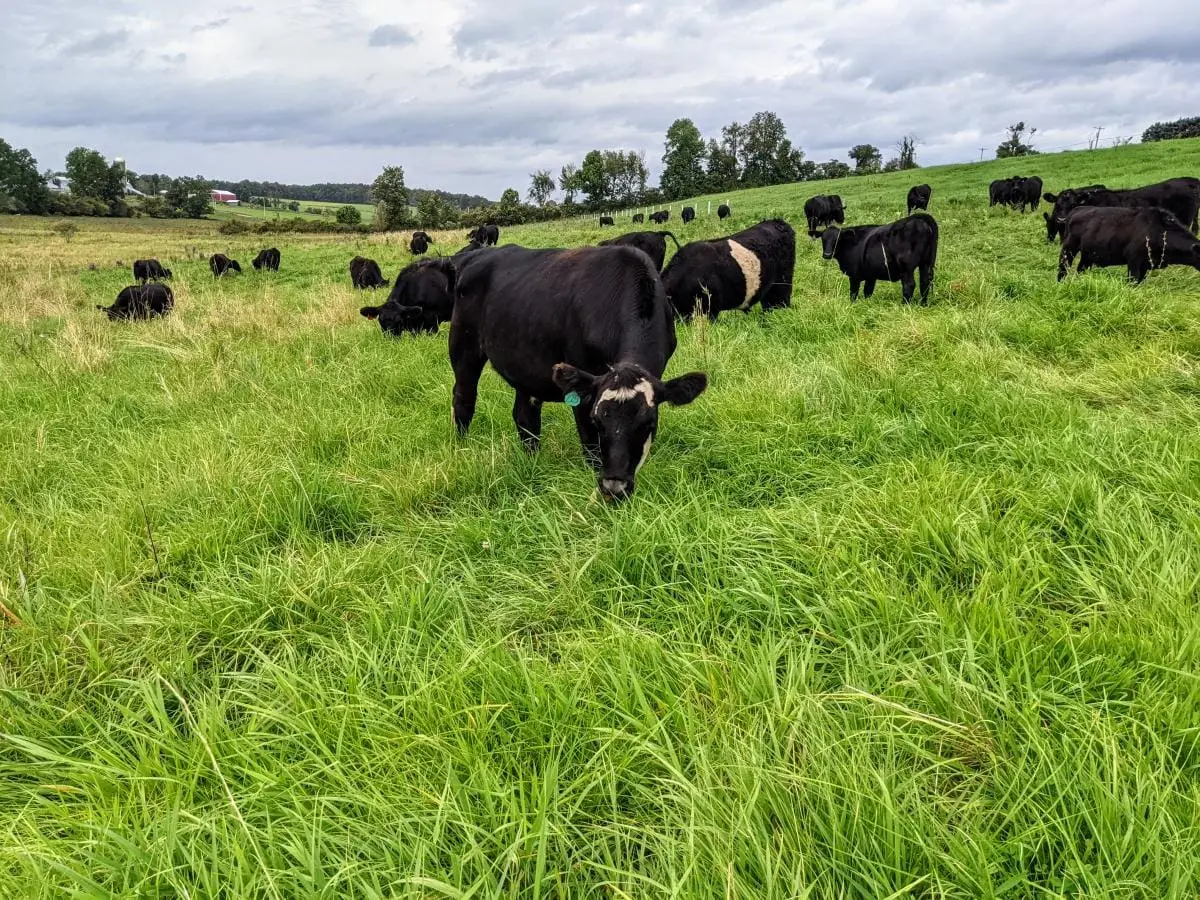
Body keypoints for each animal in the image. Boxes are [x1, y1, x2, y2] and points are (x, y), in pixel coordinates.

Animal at [446, 243, 705, 504]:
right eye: (597, 420)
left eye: (649, 423)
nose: (614, 487)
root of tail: (476, 255)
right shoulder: (584, 390)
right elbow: (590, 448)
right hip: (464, 348)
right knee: (464, 401)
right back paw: (462, 448)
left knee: (525, 417)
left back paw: (531, 461)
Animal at [1056, 206, 1200, 283]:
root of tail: (1078, 208)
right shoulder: (1134, 260)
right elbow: (1133, 280)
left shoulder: (1146, 264)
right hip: (1068, 249)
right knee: (1063, 268)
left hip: (1087, 255)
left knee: (1081, 269)